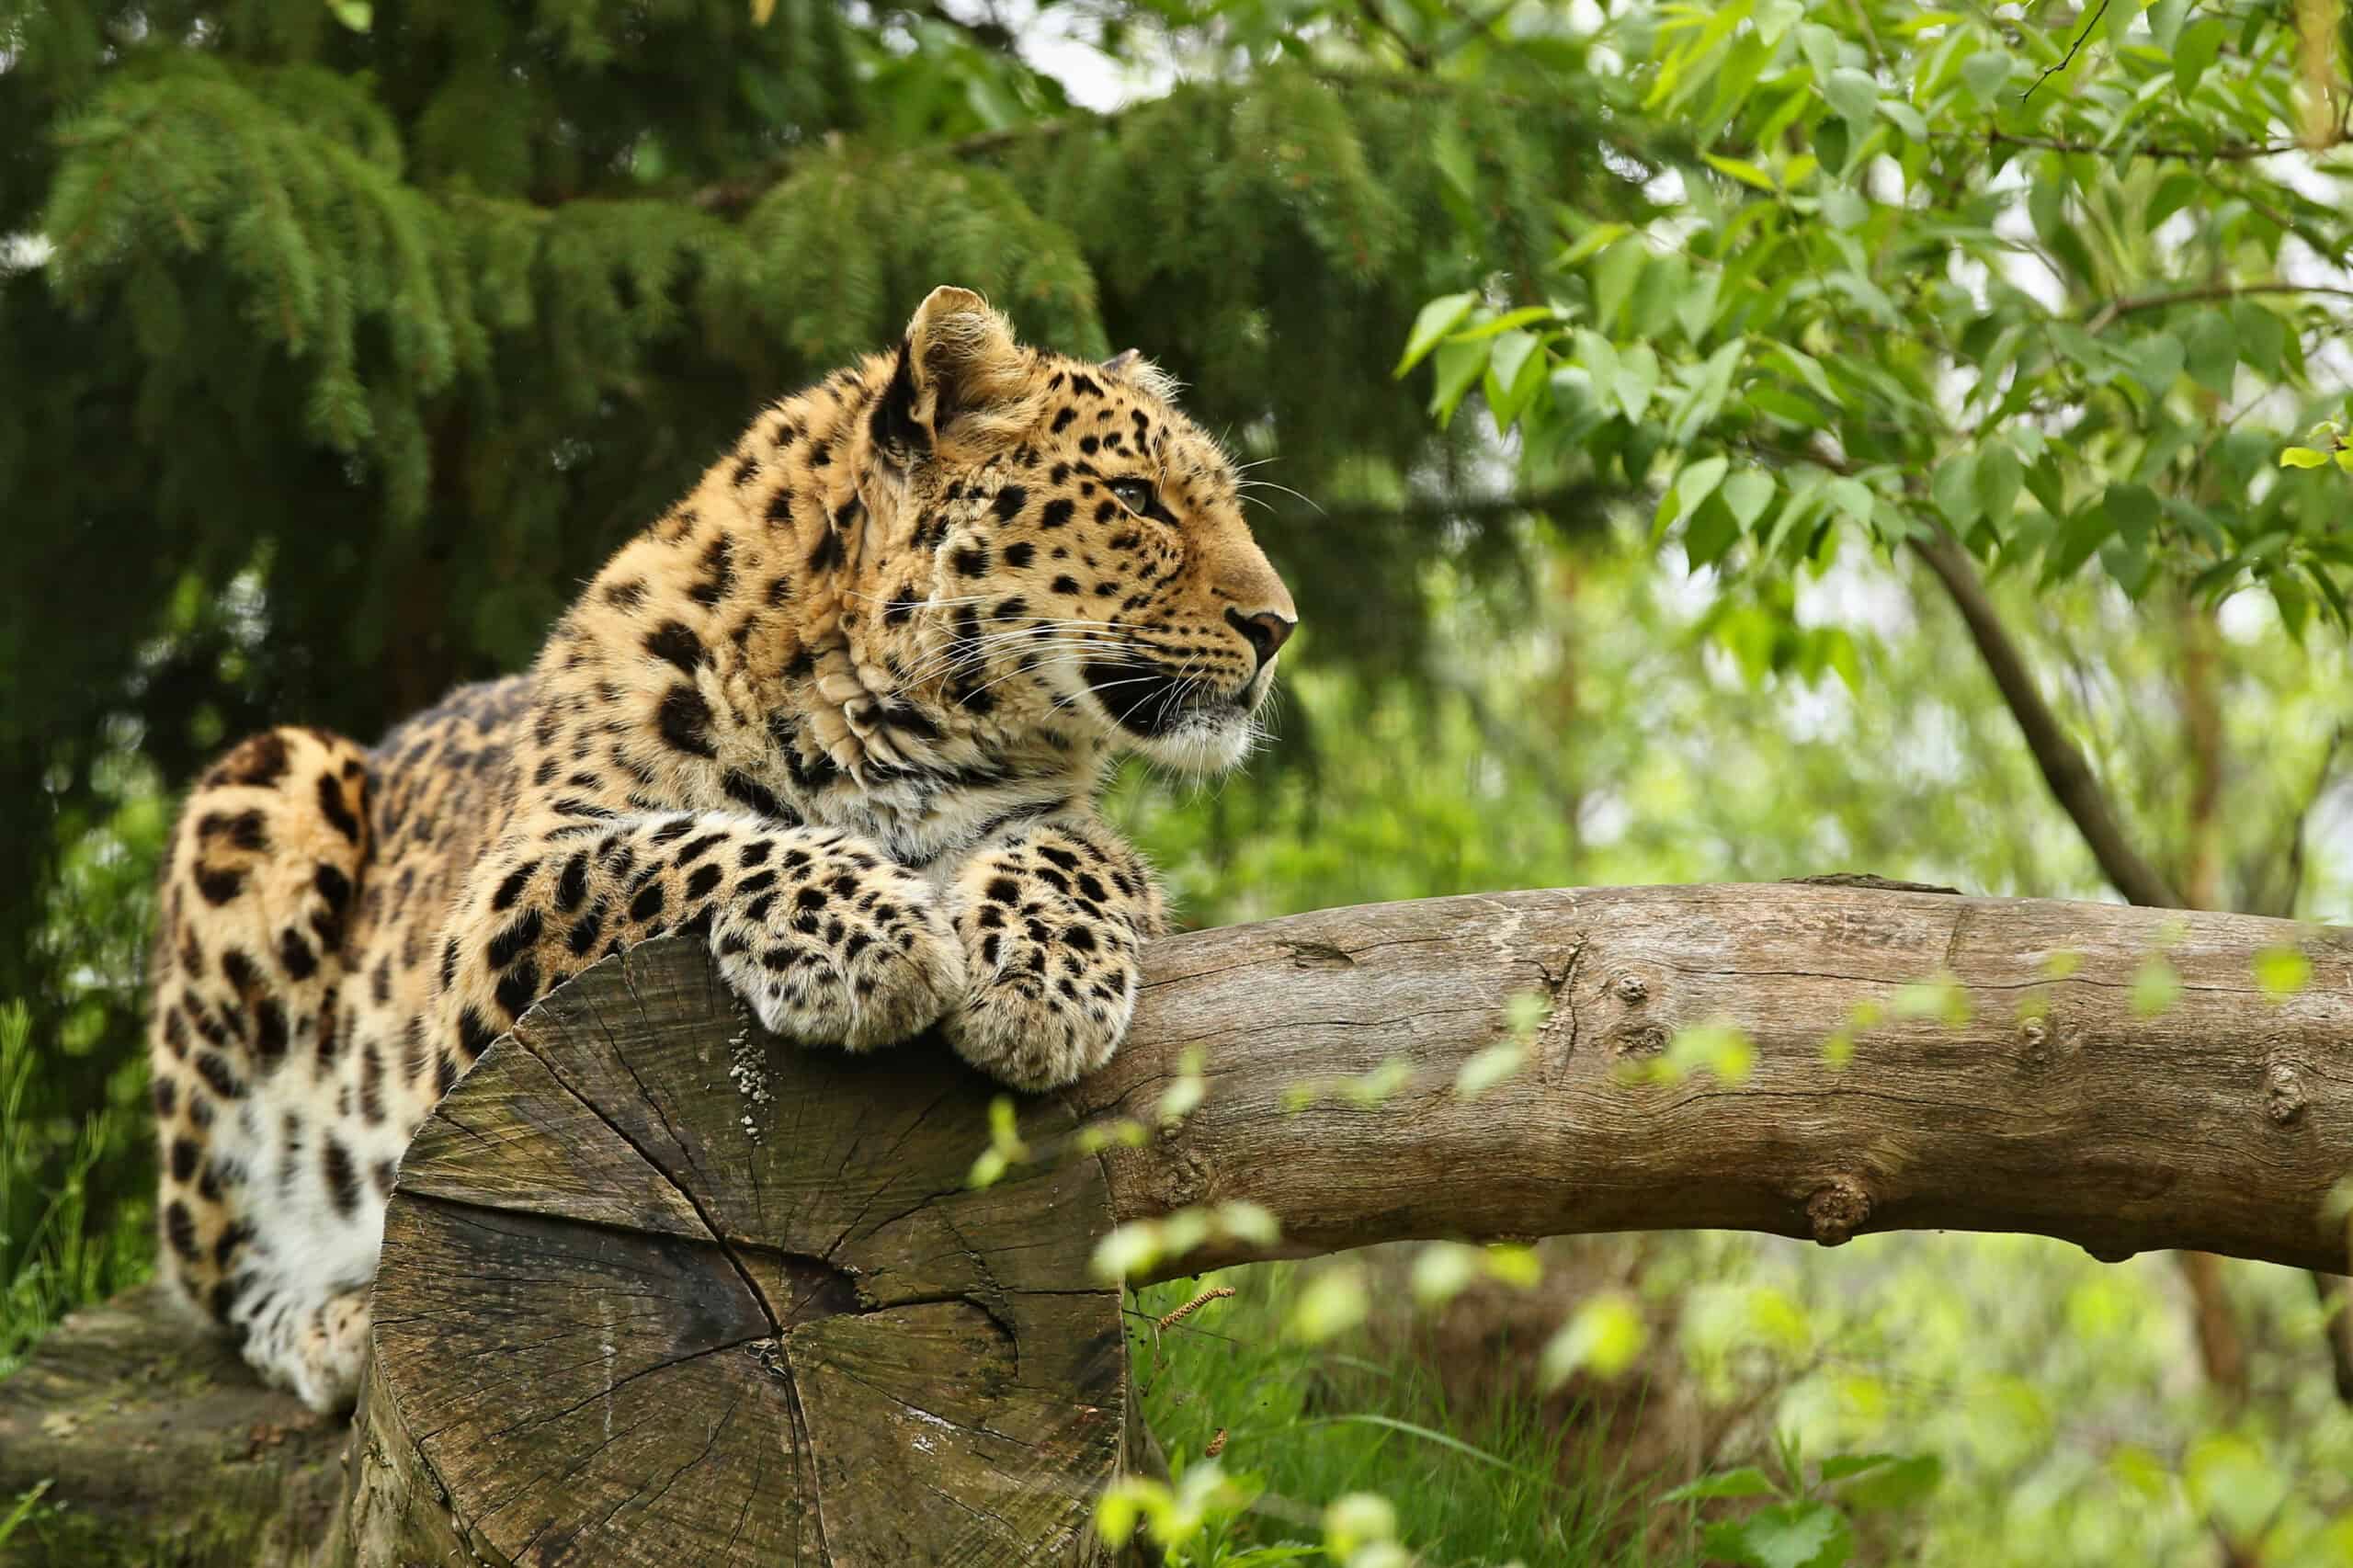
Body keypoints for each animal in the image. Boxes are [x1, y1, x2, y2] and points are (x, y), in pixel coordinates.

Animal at [149, 287, 1299, 1412]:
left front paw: (1037, 991)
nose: (1279, 626)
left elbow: (1071, 853)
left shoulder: (1073, 831)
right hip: (266, 790)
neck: (904, 721)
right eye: (1137, 498)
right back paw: (333, 1327)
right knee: (221, 1275)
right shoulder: (501, 901)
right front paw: (872, 942)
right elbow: (698, 841)